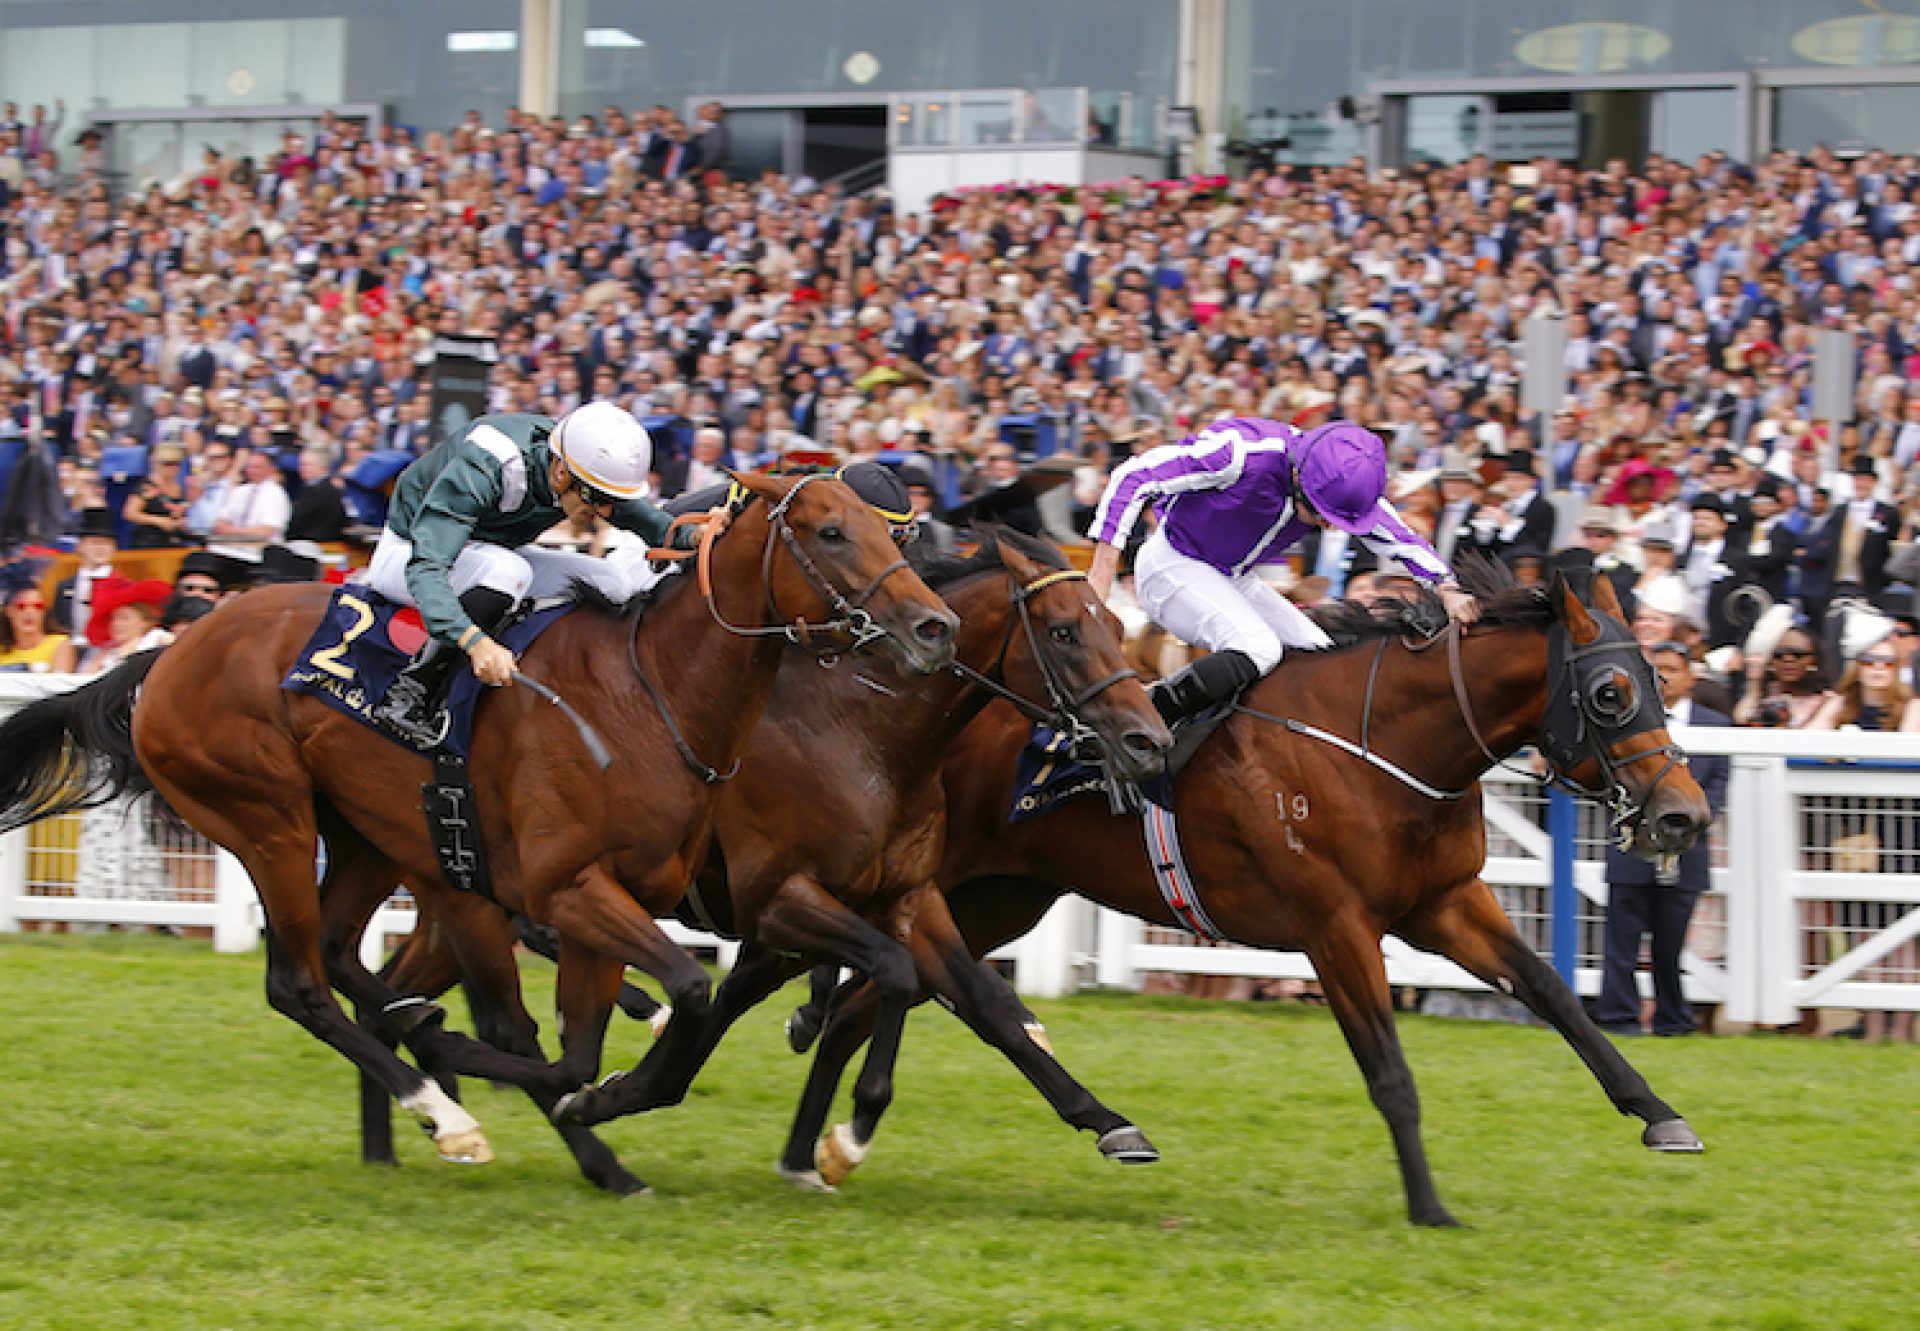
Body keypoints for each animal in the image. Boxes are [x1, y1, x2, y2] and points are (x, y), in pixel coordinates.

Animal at [0, 472, 956, 1175]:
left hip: (370, 838)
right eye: (831, 533)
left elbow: (580, 1050)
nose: (933, 626)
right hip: (266, 818)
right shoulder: (573, 888)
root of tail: (166, 654)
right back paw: (441, 1109)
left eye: (894, 533)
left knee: (346, 956)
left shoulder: (618, 898)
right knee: (299, 983)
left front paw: (582, 1090)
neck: (652, 693)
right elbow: (676, 994)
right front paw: (564, 1087)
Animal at [345, 526, 1167, 1190]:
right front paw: (837, 1132)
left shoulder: (907, 895)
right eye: (1063, 631)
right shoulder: (777, 904)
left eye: (1113, 622)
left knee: (395, 987)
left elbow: (986, 1003)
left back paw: (403, 1128)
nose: (1148, 737)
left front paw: (1109, 1122)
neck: (863, 732)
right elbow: (885, 977)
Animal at [779, 560, 1712, 1221]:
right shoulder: (1337, 927)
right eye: (1610, 693)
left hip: (997, 897)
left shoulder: (1444, 901)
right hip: (936, 885)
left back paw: (820, 1151)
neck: (1382, 743)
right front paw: (1429, 1205)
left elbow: (1555, 991)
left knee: (866, 999)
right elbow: (1390, 1070)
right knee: (886, 984)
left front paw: (1660, 1112)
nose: (1684, 815)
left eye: (1665, 680)